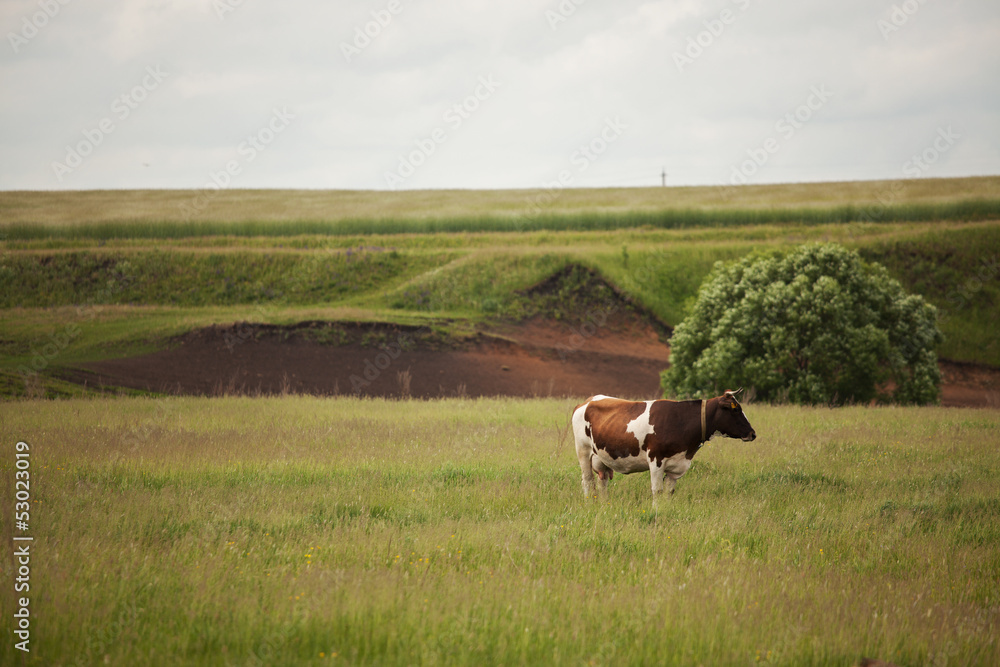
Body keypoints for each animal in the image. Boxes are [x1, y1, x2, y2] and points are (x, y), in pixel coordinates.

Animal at [572, 392, 756, 496]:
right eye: (735, 409)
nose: (752, 433)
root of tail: (587, 401)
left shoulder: (677, 467)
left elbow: (669, 492)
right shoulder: (656, 460)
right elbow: (657, 491)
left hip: (601, 458)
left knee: (602, 482)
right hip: (583, 451)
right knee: (587, 481)